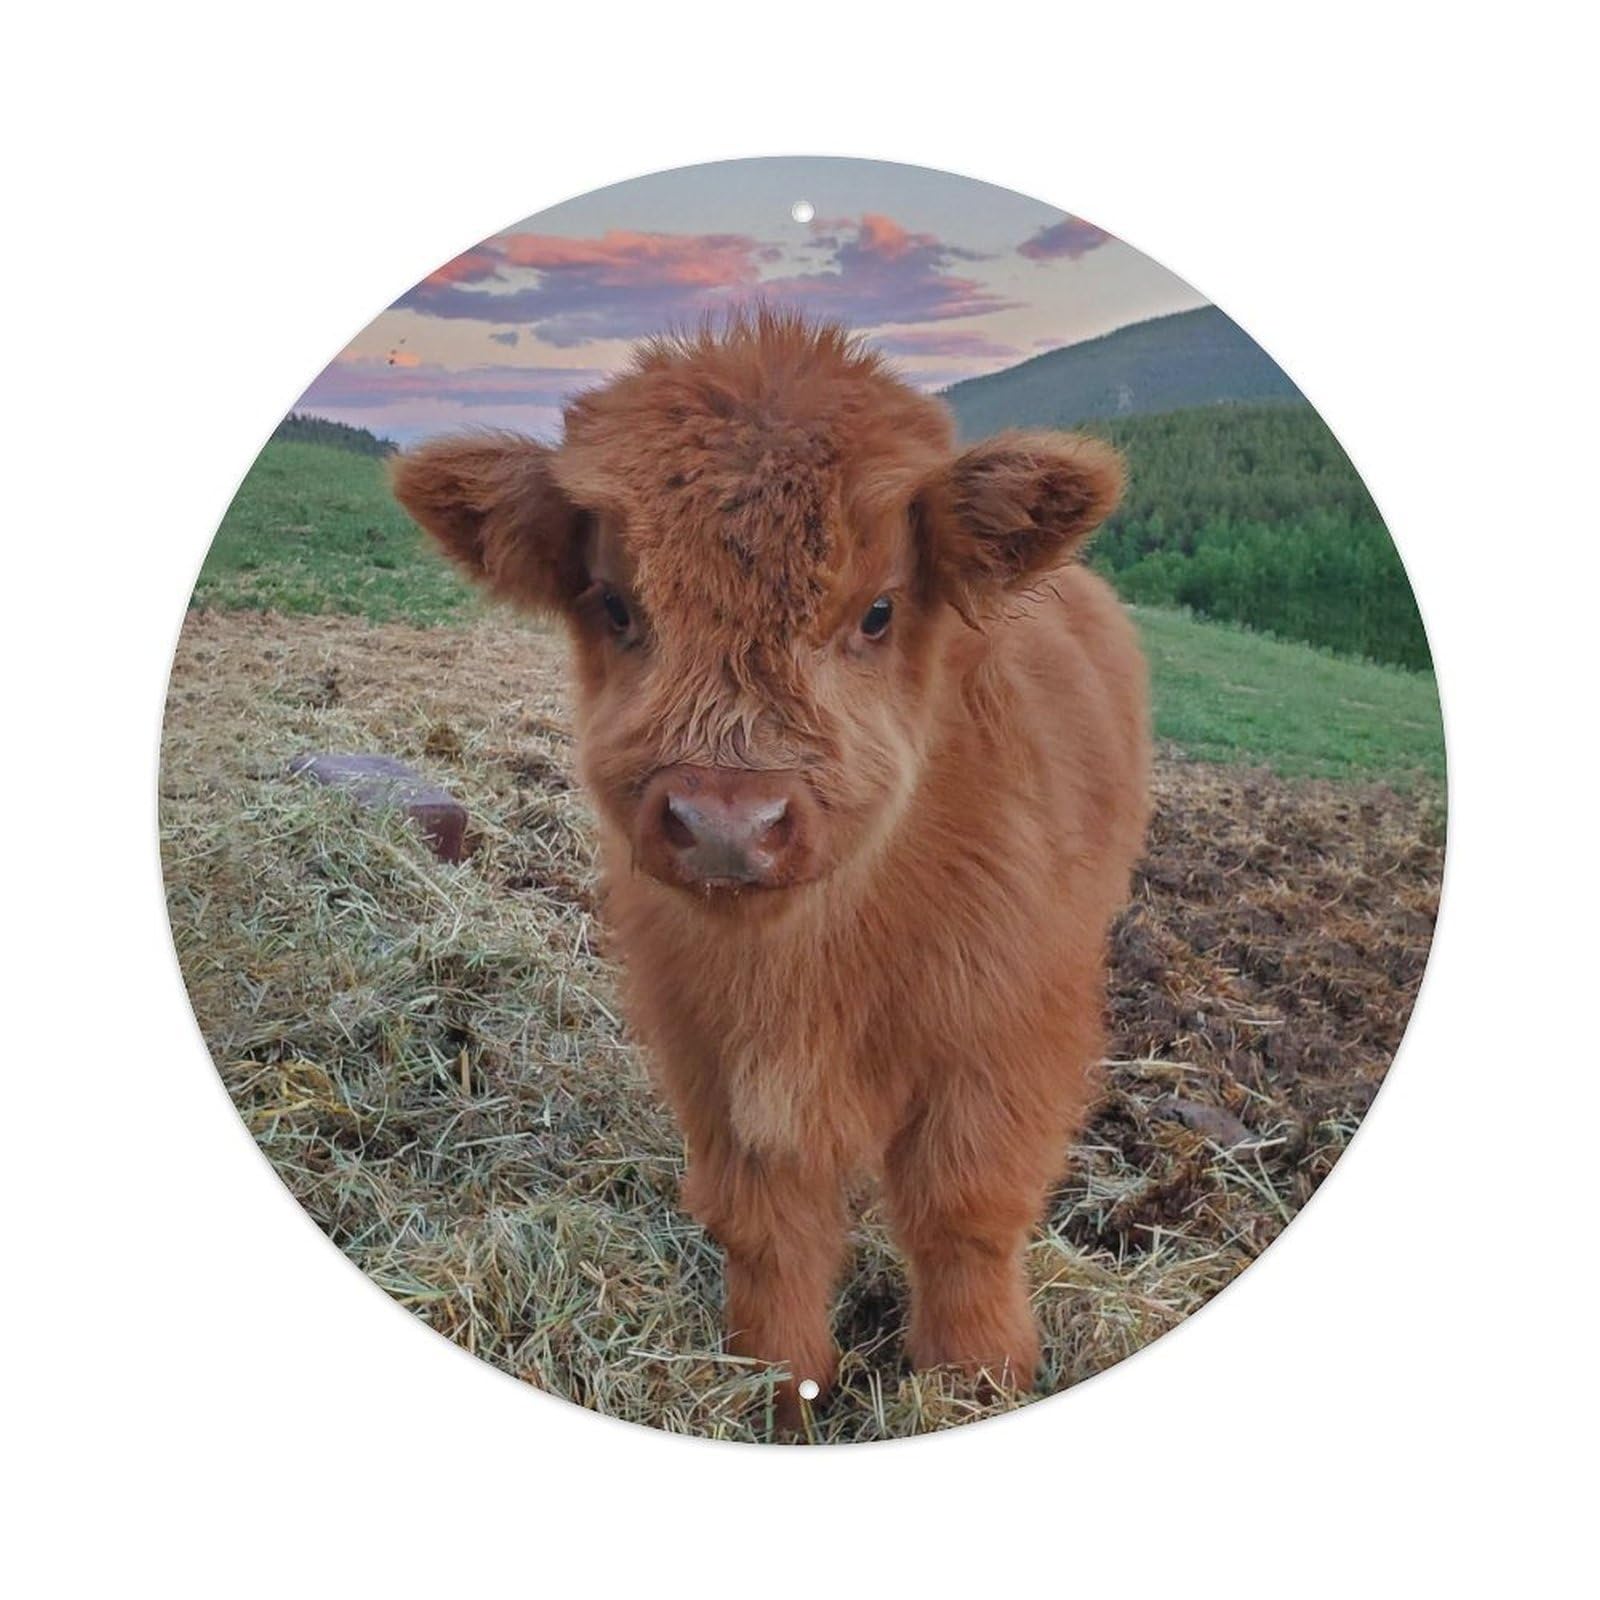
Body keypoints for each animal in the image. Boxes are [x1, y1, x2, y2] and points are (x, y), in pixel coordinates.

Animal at [392, 311, 1150, 1428]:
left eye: (877, 611)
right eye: (614, 604)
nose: (725, 823)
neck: (812, 964)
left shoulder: (1006, 1033)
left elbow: (965, 1208)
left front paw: (975, 1379)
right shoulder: (710, 1046)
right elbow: (766, 1222)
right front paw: (776, 1389)